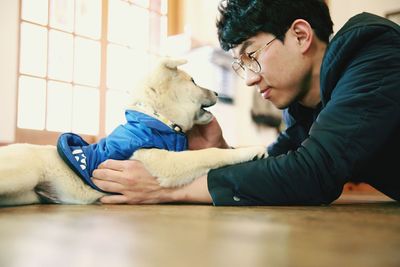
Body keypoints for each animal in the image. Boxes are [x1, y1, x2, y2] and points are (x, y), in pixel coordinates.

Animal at [0, 57, 268, 206]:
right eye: (193, 81)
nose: (217, 92)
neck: (158, 120)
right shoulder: (161, 161)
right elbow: (209, 154)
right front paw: (252, 150)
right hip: (21, 175)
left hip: (24, 193)